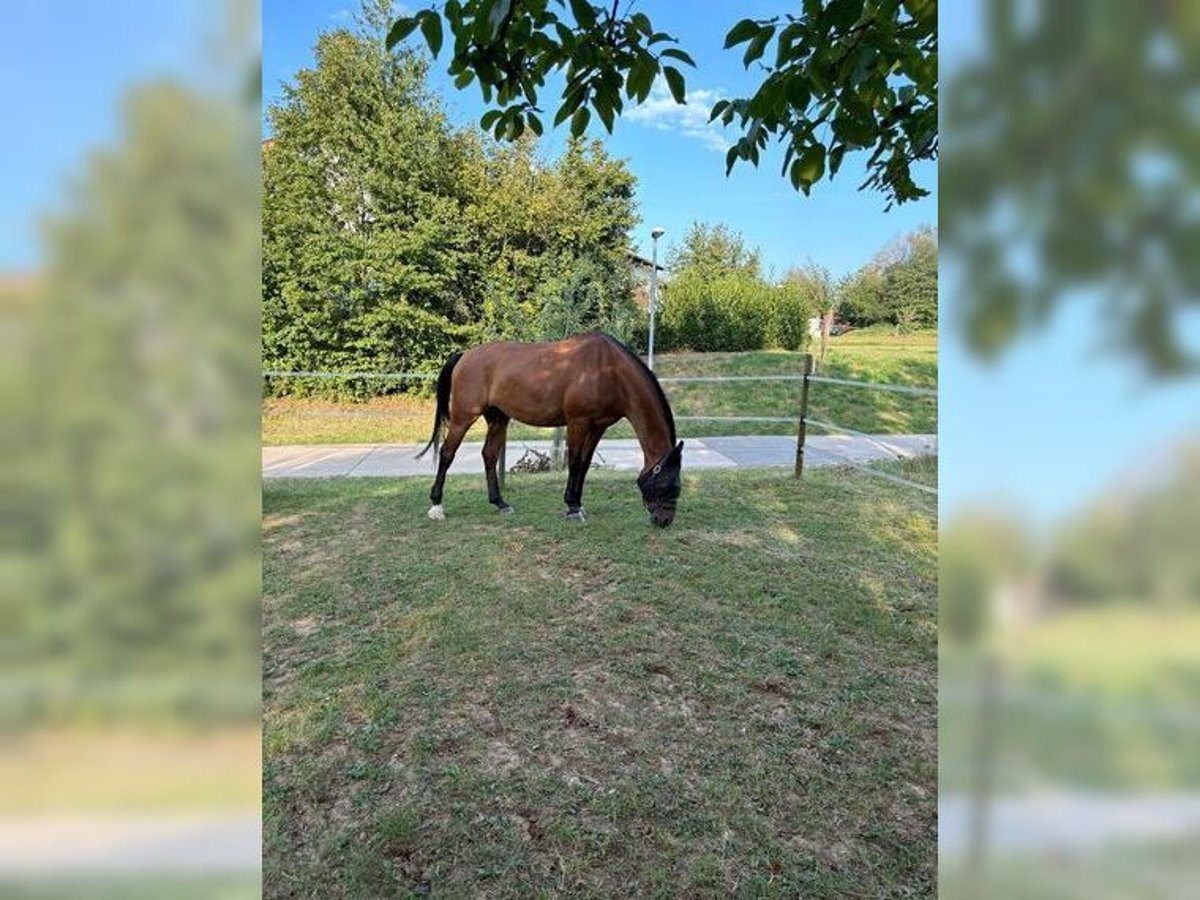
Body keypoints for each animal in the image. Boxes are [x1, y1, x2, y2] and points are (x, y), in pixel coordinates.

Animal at [417, 331, 686, 528]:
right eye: (669, 485)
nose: (664, 521)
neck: (608, 370)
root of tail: (465, 355)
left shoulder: (598, 427)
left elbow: (585, 465)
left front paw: (578, 503)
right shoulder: (578, 422)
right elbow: (575, 463)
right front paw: (573, 508)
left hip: (498, 419)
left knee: (489, 455)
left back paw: (500, 503)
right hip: (464, 417)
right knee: (447, 454)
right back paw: (436, 506)